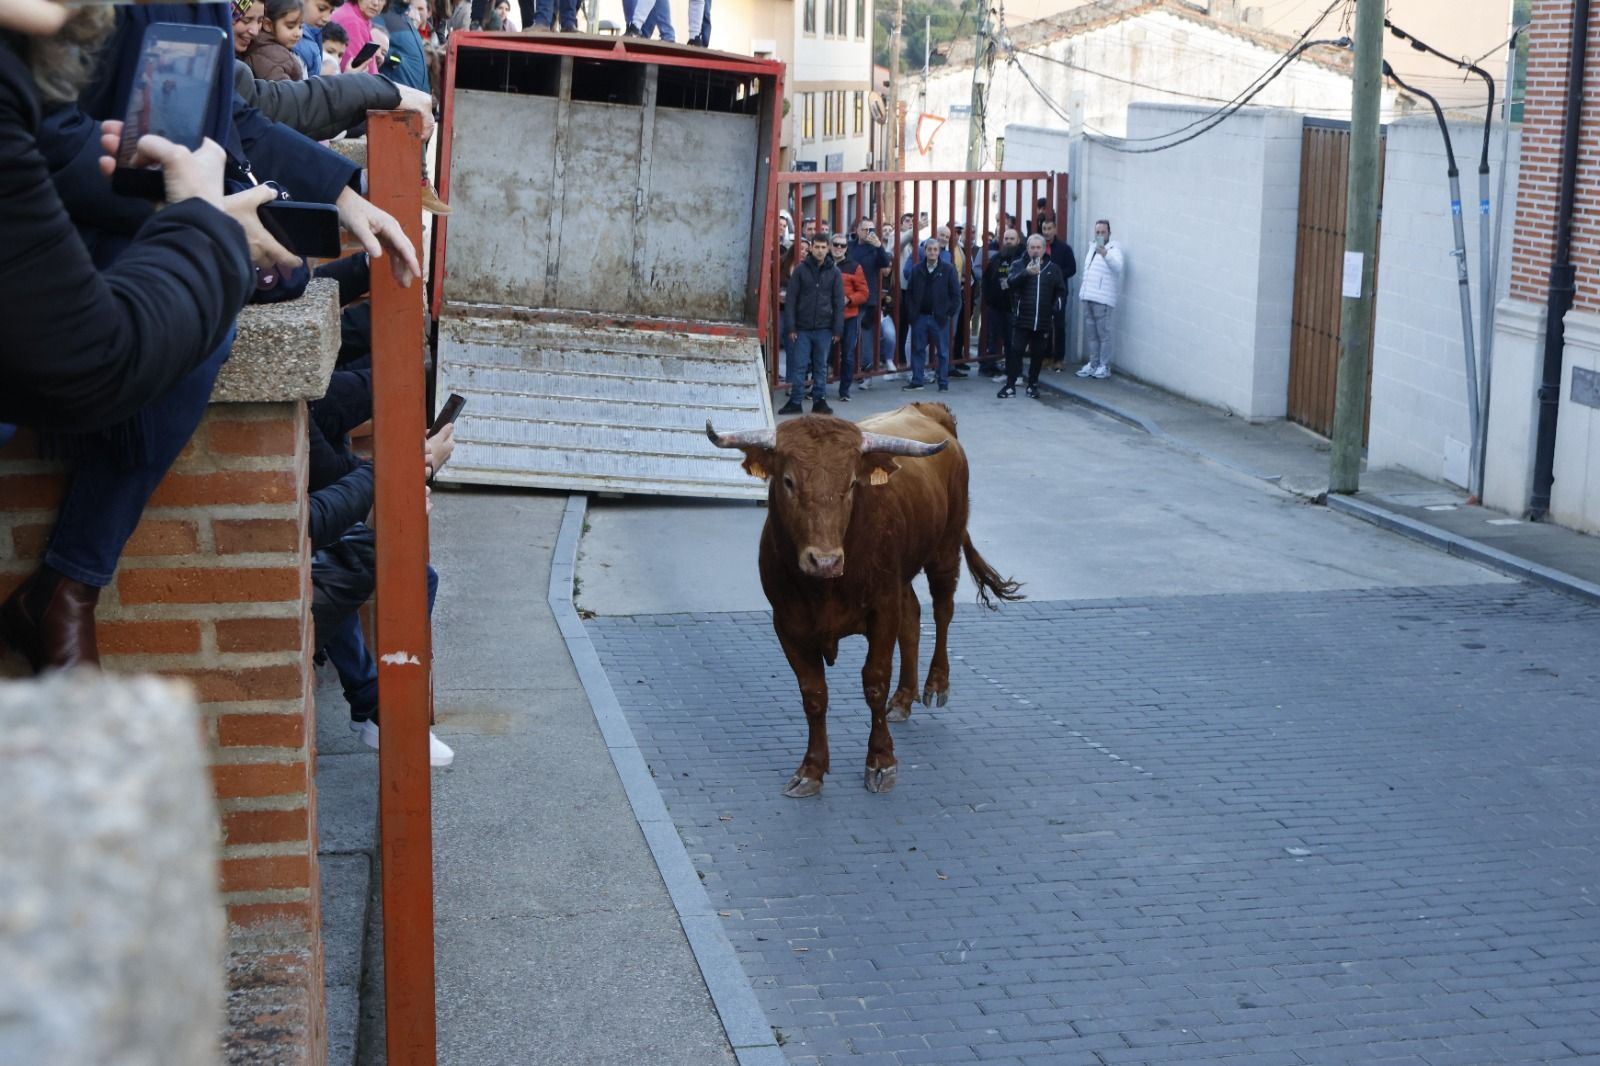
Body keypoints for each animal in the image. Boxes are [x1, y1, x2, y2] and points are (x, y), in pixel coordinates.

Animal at [707, 403, 1017, 793]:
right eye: (788, 481)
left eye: (853, 483)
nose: (824, 560)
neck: (823, 589)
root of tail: (929, 412)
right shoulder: (787, 623)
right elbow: (814, 693)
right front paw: (811, 769)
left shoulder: (881, 611)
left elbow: (874, 682)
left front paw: (881, 762)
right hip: (902, 576)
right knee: (912, 619)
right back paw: (903, 699)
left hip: (946, 548)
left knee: (942, 611)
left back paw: (935, 685)